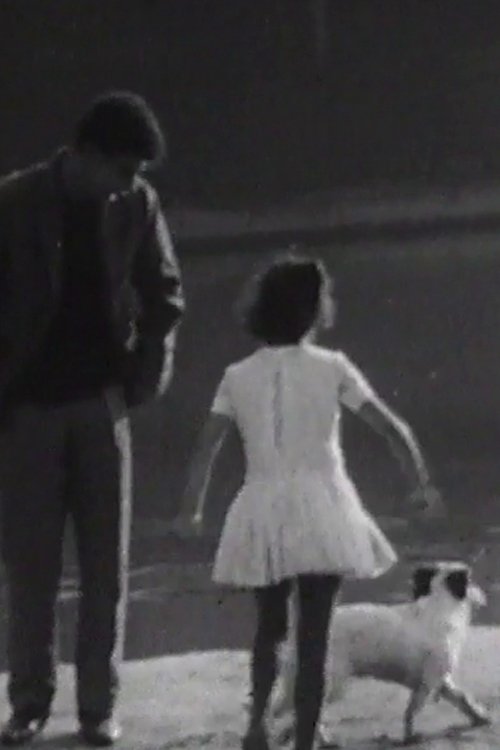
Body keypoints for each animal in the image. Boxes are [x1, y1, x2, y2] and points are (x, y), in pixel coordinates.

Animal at [271, 562, 490, 746]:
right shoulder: (428, 682)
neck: (439, 605)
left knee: (291, 709)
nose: (482, 594)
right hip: (332, 683)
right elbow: (412, 711)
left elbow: (462, 698)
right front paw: (410, 736)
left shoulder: (440, 680)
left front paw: (480, 717)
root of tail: (297, 634)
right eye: (470, 581)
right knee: (304, 710)